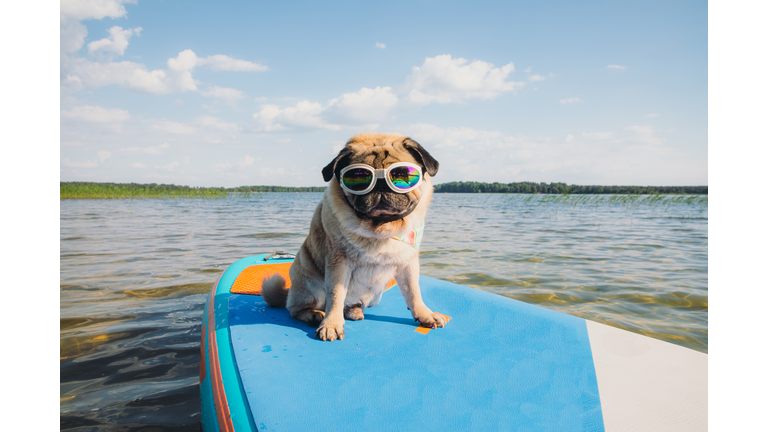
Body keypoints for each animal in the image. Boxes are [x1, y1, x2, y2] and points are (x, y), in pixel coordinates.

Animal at [260, 132, 448, 340]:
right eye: (359, 178)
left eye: (401, 174)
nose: (381, 184)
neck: (380, 229)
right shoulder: (338, 262)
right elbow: (335, 295)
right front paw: (331, 324)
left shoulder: (407, 262)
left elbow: (414, 292)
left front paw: (425, 315)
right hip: (310, 286)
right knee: (295, 309)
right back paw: (314, 315)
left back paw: (354, 310)